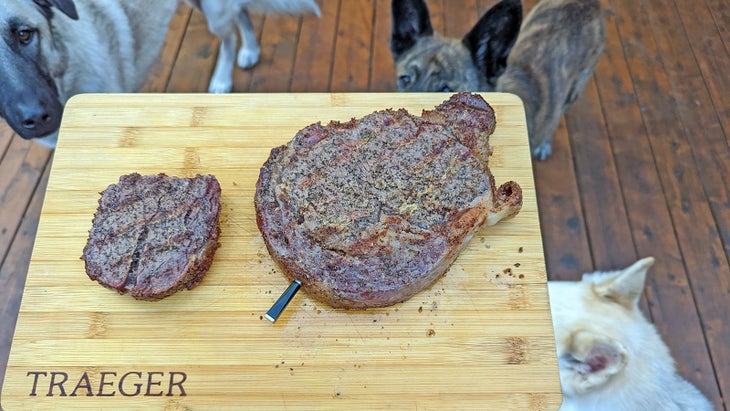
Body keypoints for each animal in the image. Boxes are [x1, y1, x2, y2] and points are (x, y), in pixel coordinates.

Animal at [0, 0, 318, 148]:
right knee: (241, 15)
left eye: (25, 34)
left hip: (212, 11)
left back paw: (223, 76)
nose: (37, 118)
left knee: (228, 36)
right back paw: (250, 49)